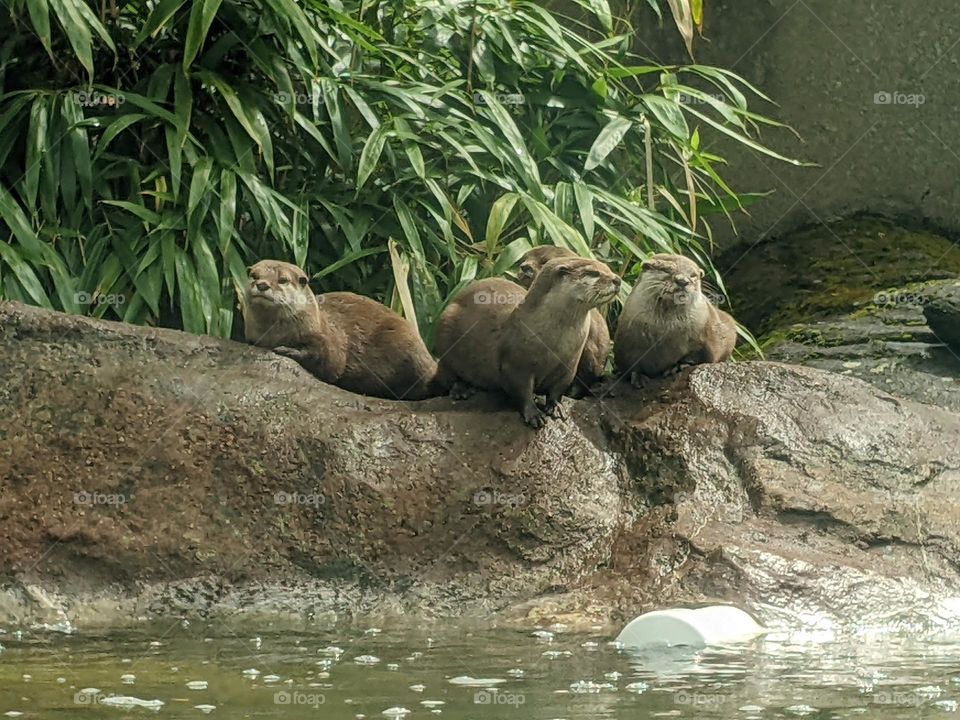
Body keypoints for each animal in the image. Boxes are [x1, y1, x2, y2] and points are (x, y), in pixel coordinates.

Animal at [242, 260, 439, 400]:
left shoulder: (327, 337)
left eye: (283, 280)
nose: (262, 284)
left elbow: (330, 362)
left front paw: (289, 350)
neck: (274, 335)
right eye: (254, 275)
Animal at [614, 253, 737, 385]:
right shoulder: (625, 342)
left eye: (693, 275)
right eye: (667, 269)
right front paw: (638, 376)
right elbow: (630, 364)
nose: (683, 281)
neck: (665, 333)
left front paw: (677, 366)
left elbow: (701, 355)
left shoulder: (707, 335)